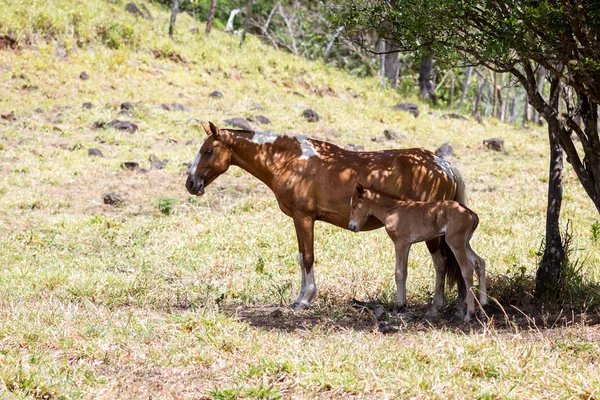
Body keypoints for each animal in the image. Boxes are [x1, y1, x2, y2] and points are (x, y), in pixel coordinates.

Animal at [188, 122, 468, 318]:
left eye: (208, 151)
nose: (190, 184)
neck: (289, 160)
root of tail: (443, 164)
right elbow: (302, 256)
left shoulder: (303, 217)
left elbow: (307, 257)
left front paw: (304, 299)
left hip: (432, 234)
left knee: (442, 263)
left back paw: (435, 308)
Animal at [350, 183, 486, 320]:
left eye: (355, 205)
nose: (352, 226)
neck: (392, 211)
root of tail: (471, 213)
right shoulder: (407, 245)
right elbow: (404, 272)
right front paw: (403, 304)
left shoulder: (400, 243)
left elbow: (399, 272)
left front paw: (398, 306)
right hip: (465, 242)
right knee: (479, 262)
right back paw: (483, 307)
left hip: (455, 241)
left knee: (467, 269)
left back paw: (469, 314)